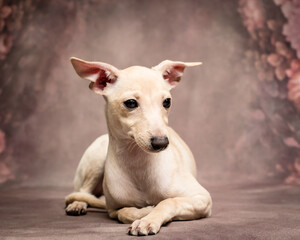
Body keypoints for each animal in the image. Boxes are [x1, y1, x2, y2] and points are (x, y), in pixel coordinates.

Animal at [65, 57, 211, 235]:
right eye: (130, 103)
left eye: (167, 102)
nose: (161, 142)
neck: (139, 164)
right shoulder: (112, 209)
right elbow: (124, 212)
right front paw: (146, 211)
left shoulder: (201, 198)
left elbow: (169, 201)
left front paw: (149, 219)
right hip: (96, 159)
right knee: (83, 191)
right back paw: (77, 204)